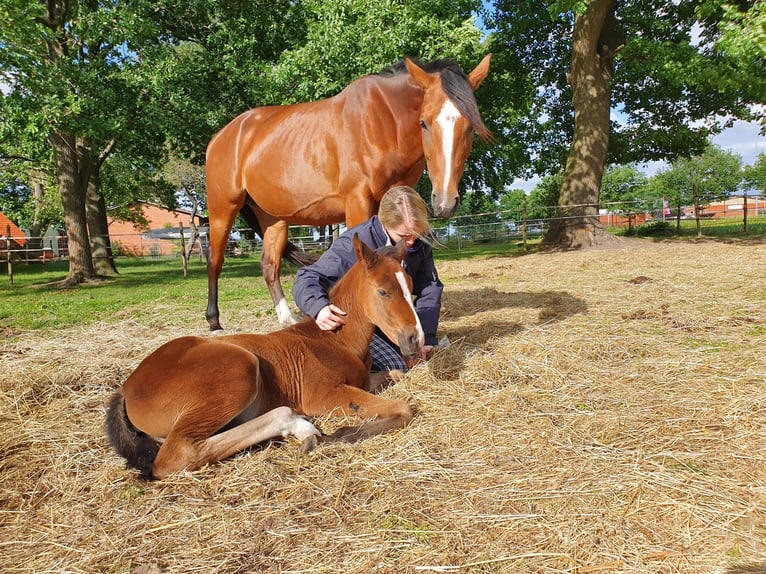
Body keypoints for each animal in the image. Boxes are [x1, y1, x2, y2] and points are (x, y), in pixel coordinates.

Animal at [105, 236, 424, 484]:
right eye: (382, 291)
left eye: (411, 288)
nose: (415, 338)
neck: (335, 340)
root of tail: (126, 387)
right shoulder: (324, 394)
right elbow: (403, 408)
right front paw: (341, 434)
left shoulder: (364, 380)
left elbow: (398, 375)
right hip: (239, 368)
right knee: (177, 454)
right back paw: (300, 426)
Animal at [204, 57, 492, 332]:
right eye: (424, 123)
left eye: (470, 126)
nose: (445, 202)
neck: (383, 122)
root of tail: (223, 135)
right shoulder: (357, 202)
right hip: (222, 209)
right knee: (215, 259)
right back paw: (213, 319)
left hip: (273, 217)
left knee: (269, 264)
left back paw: (286, 319)